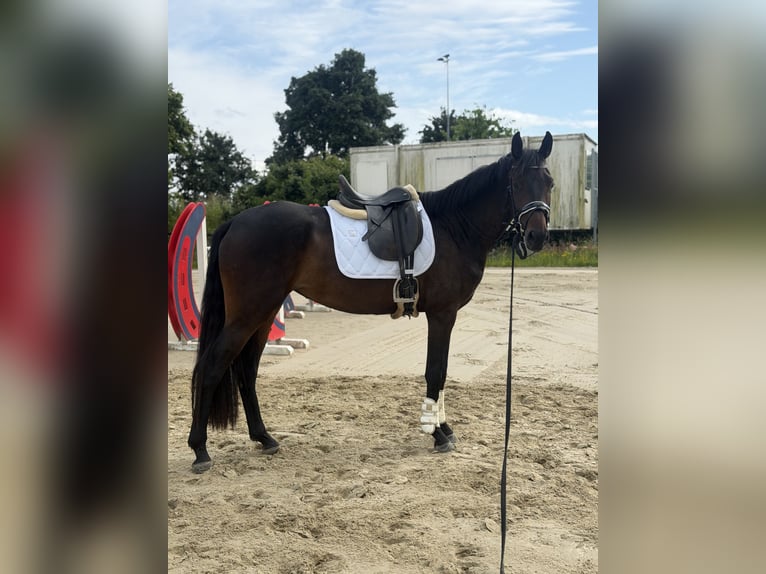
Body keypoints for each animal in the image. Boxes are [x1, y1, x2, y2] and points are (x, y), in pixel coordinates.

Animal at [187, 131, 554, 473]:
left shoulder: (444, 316)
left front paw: (444, 427)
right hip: (247, 315)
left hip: (264, 314)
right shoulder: (442, 314)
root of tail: (235, 222)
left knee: (246, 371)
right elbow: (435, 371)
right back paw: (200, 450)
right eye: (517, 182)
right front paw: (437, 433)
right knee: (212, 366)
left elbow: (442, 372)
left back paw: (264, 437)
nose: (536, 236)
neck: (454, 227)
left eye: (549, 182)